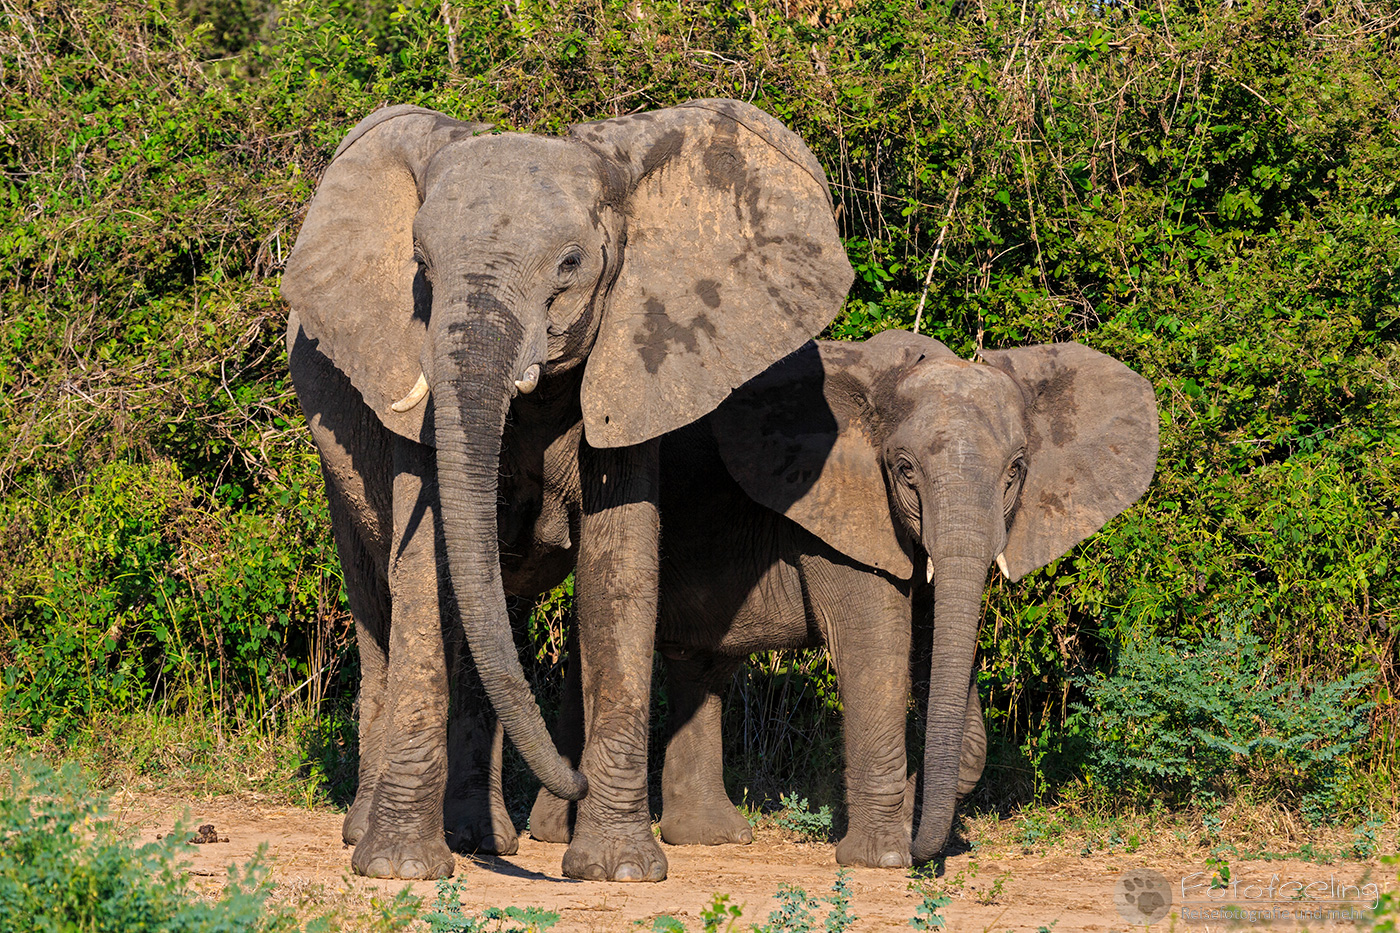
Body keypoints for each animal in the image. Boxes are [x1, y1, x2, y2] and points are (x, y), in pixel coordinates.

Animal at [280, 100, 852, 881]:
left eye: (572, 264)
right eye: (419, 267)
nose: (571, 778)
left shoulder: (638, 359)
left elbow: (619, 566)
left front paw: (617, 869)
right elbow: (425, 570)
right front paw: (399, 870)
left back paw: (484, 838)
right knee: (380, 603)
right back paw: (379, 832)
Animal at [529, 329, 1159, 866]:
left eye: (1016, 472)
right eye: (904, 471)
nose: (921, 840)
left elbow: (936, 658)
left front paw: (907, 823)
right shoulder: (837, 508)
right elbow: (875, 646)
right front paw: (886, 857)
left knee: (698, 661)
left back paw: (709, 837)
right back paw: (558, 835)